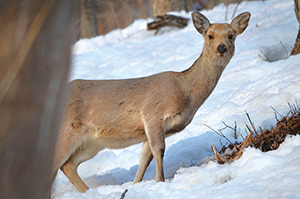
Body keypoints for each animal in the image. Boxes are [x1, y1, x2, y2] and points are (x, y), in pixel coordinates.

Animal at [51, 10, 251, 193]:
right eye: (210, 35)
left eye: (231, 35)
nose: (222, 48)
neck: (186, 93)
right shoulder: (152, 114)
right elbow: (159, 151)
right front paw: (160, 182)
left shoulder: (154, 130)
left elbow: (145, 158)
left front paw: (135, 185)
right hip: (66, 132)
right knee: (55, 165)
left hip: (91, 143)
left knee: (68, 165)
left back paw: (88, 192)